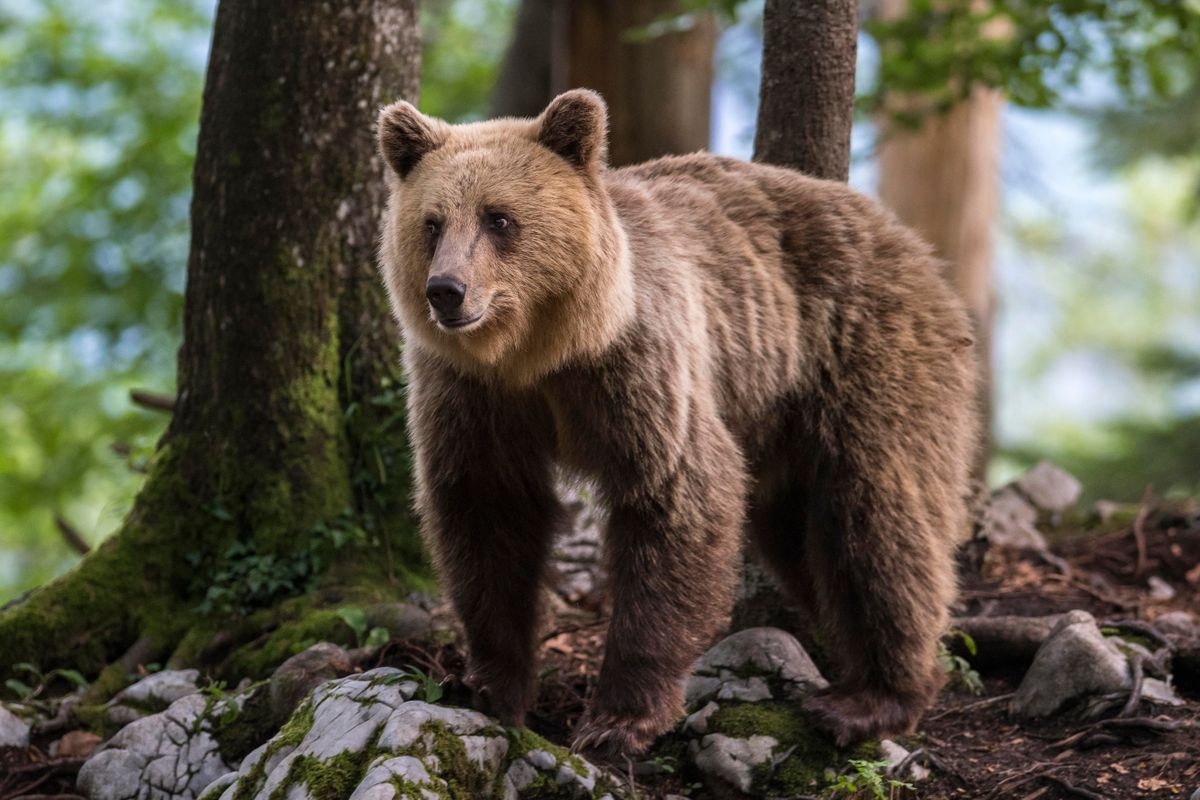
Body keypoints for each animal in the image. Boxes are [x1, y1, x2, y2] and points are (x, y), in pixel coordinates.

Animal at [379, 89, 979, 758]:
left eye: (498, 218)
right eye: (432, 223)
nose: (446, 290)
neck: (540, 353)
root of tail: (911, 242)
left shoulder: (638, 368)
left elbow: (676, 499)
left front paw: (618, 719)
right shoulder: (476, 397)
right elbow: (488, 515)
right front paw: (490, 687)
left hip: (861, 353)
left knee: (878, 520)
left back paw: (873, 698)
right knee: (797, 534)